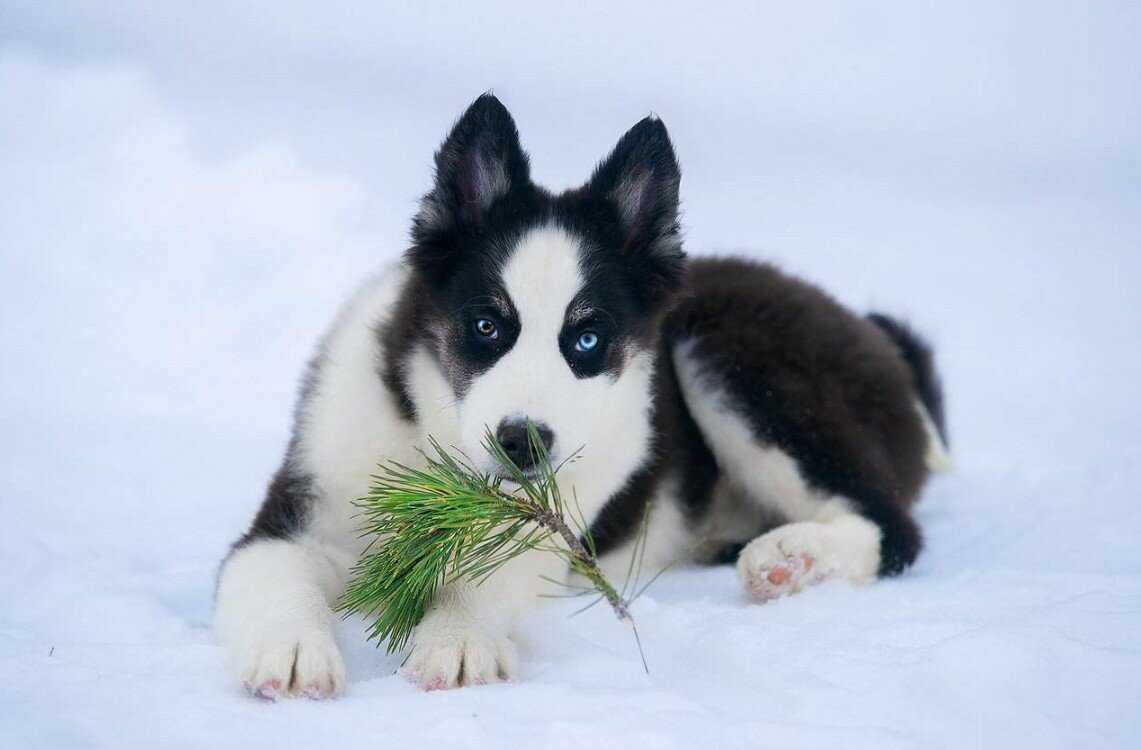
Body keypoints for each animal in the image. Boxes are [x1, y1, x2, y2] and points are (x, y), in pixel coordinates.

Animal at [214, 93, 944, 694]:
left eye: (587, 340)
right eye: (487, 326)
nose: (523, 442)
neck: (435, 441)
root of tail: (874, 337)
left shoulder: (551, 529)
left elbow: (487, 577)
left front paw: (457, 639)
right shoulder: (297, 515)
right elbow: (273, 572)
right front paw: (292, 651)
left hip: (731, 349)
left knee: (891, 525)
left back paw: (792, 557)